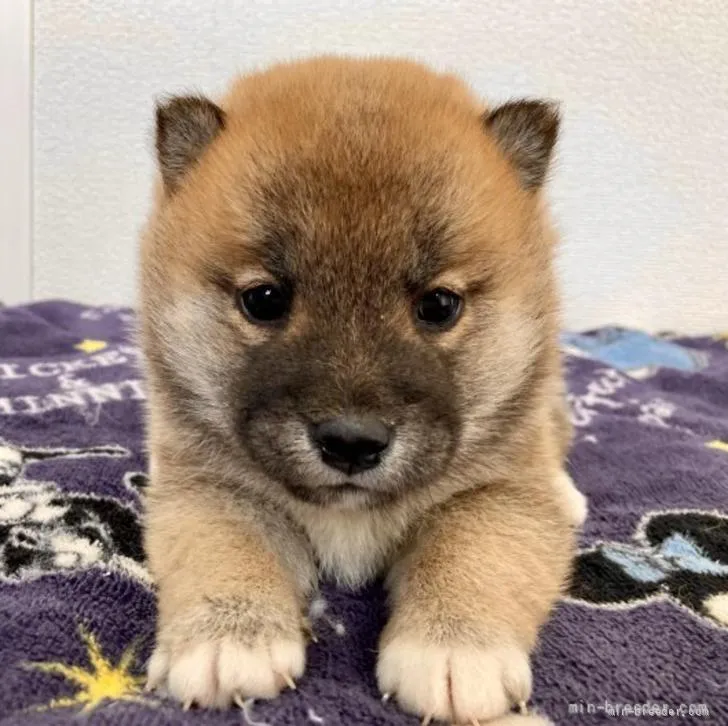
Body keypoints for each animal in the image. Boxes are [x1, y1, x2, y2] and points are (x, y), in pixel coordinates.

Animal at [138, 54, 584, 724]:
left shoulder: (498, 495)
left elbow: (473, 554)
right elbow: (224, 548)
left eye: (439, 305)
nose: (351, 443)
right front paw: (228, 638)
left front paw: (454, 651)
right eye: (264, 300)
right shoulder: (210, 490)